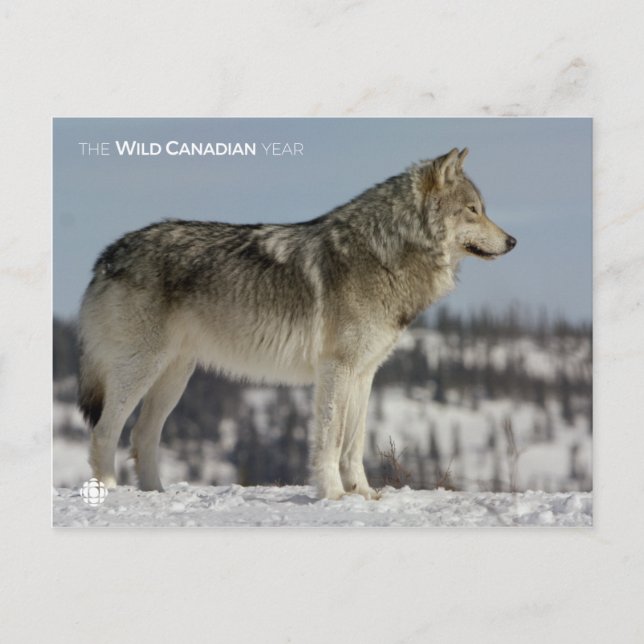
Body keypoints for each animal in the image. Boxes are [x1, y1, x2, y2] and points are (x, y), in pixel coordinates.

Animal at [78, 148, 516, 500]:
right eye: (473, 210)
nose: (513, 242)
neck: (385, 254)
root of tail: (108, 254)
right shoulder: (335, 369)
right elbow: (330, 440)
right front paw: (333, 495)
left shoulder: (364, 374)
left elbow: (353, 443)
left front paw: (364, 494)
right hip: (141, 370)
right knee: (105, 431)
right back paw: (109, 493)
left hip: (175, 376)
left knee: (141, 435)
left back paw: (155, 493)